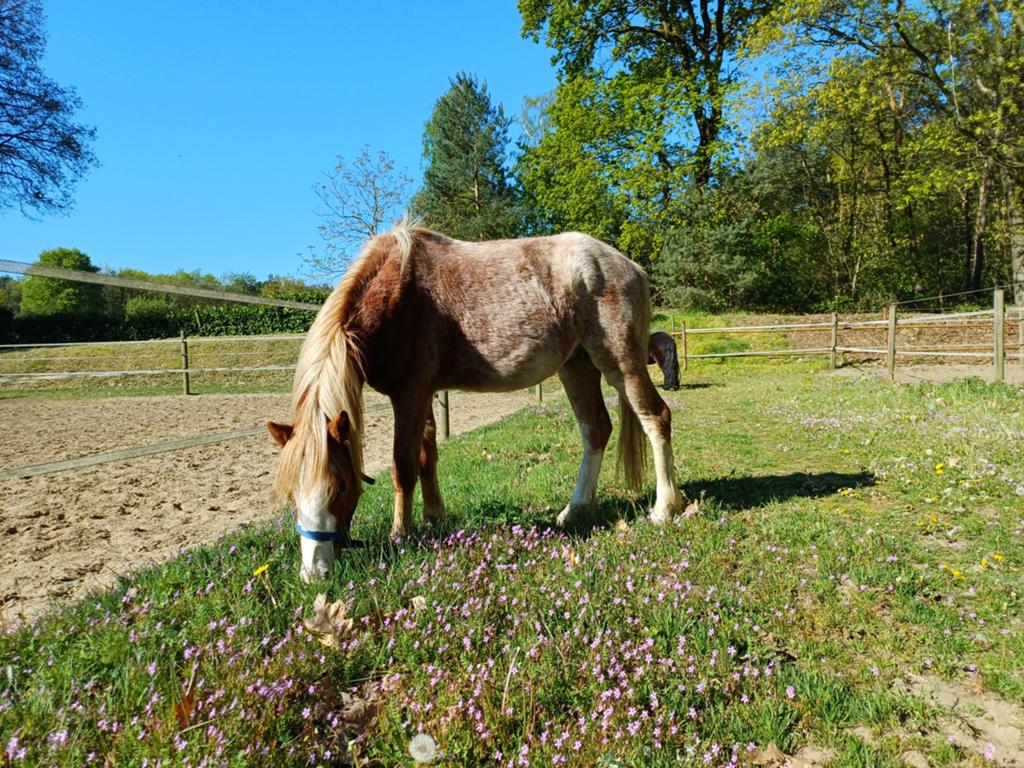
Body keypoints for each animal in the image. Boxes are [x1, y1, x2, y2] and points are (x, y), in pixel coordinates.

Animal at [268, 223, 683, 581]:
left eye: (338, 488)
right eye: (291, 494)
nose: (314, 572)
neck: (393, 294)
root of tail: (629, 266)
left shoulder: (409, 394)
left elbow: (403, 466)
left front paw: (401, 535)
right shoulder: (425, 394)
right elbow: (427, 456)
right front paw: (434, 517)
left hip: (619, 360)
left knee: (655, 416)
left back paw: (664, 509)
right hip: (577, 366)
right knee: (596, 429)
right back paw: (574, 510)